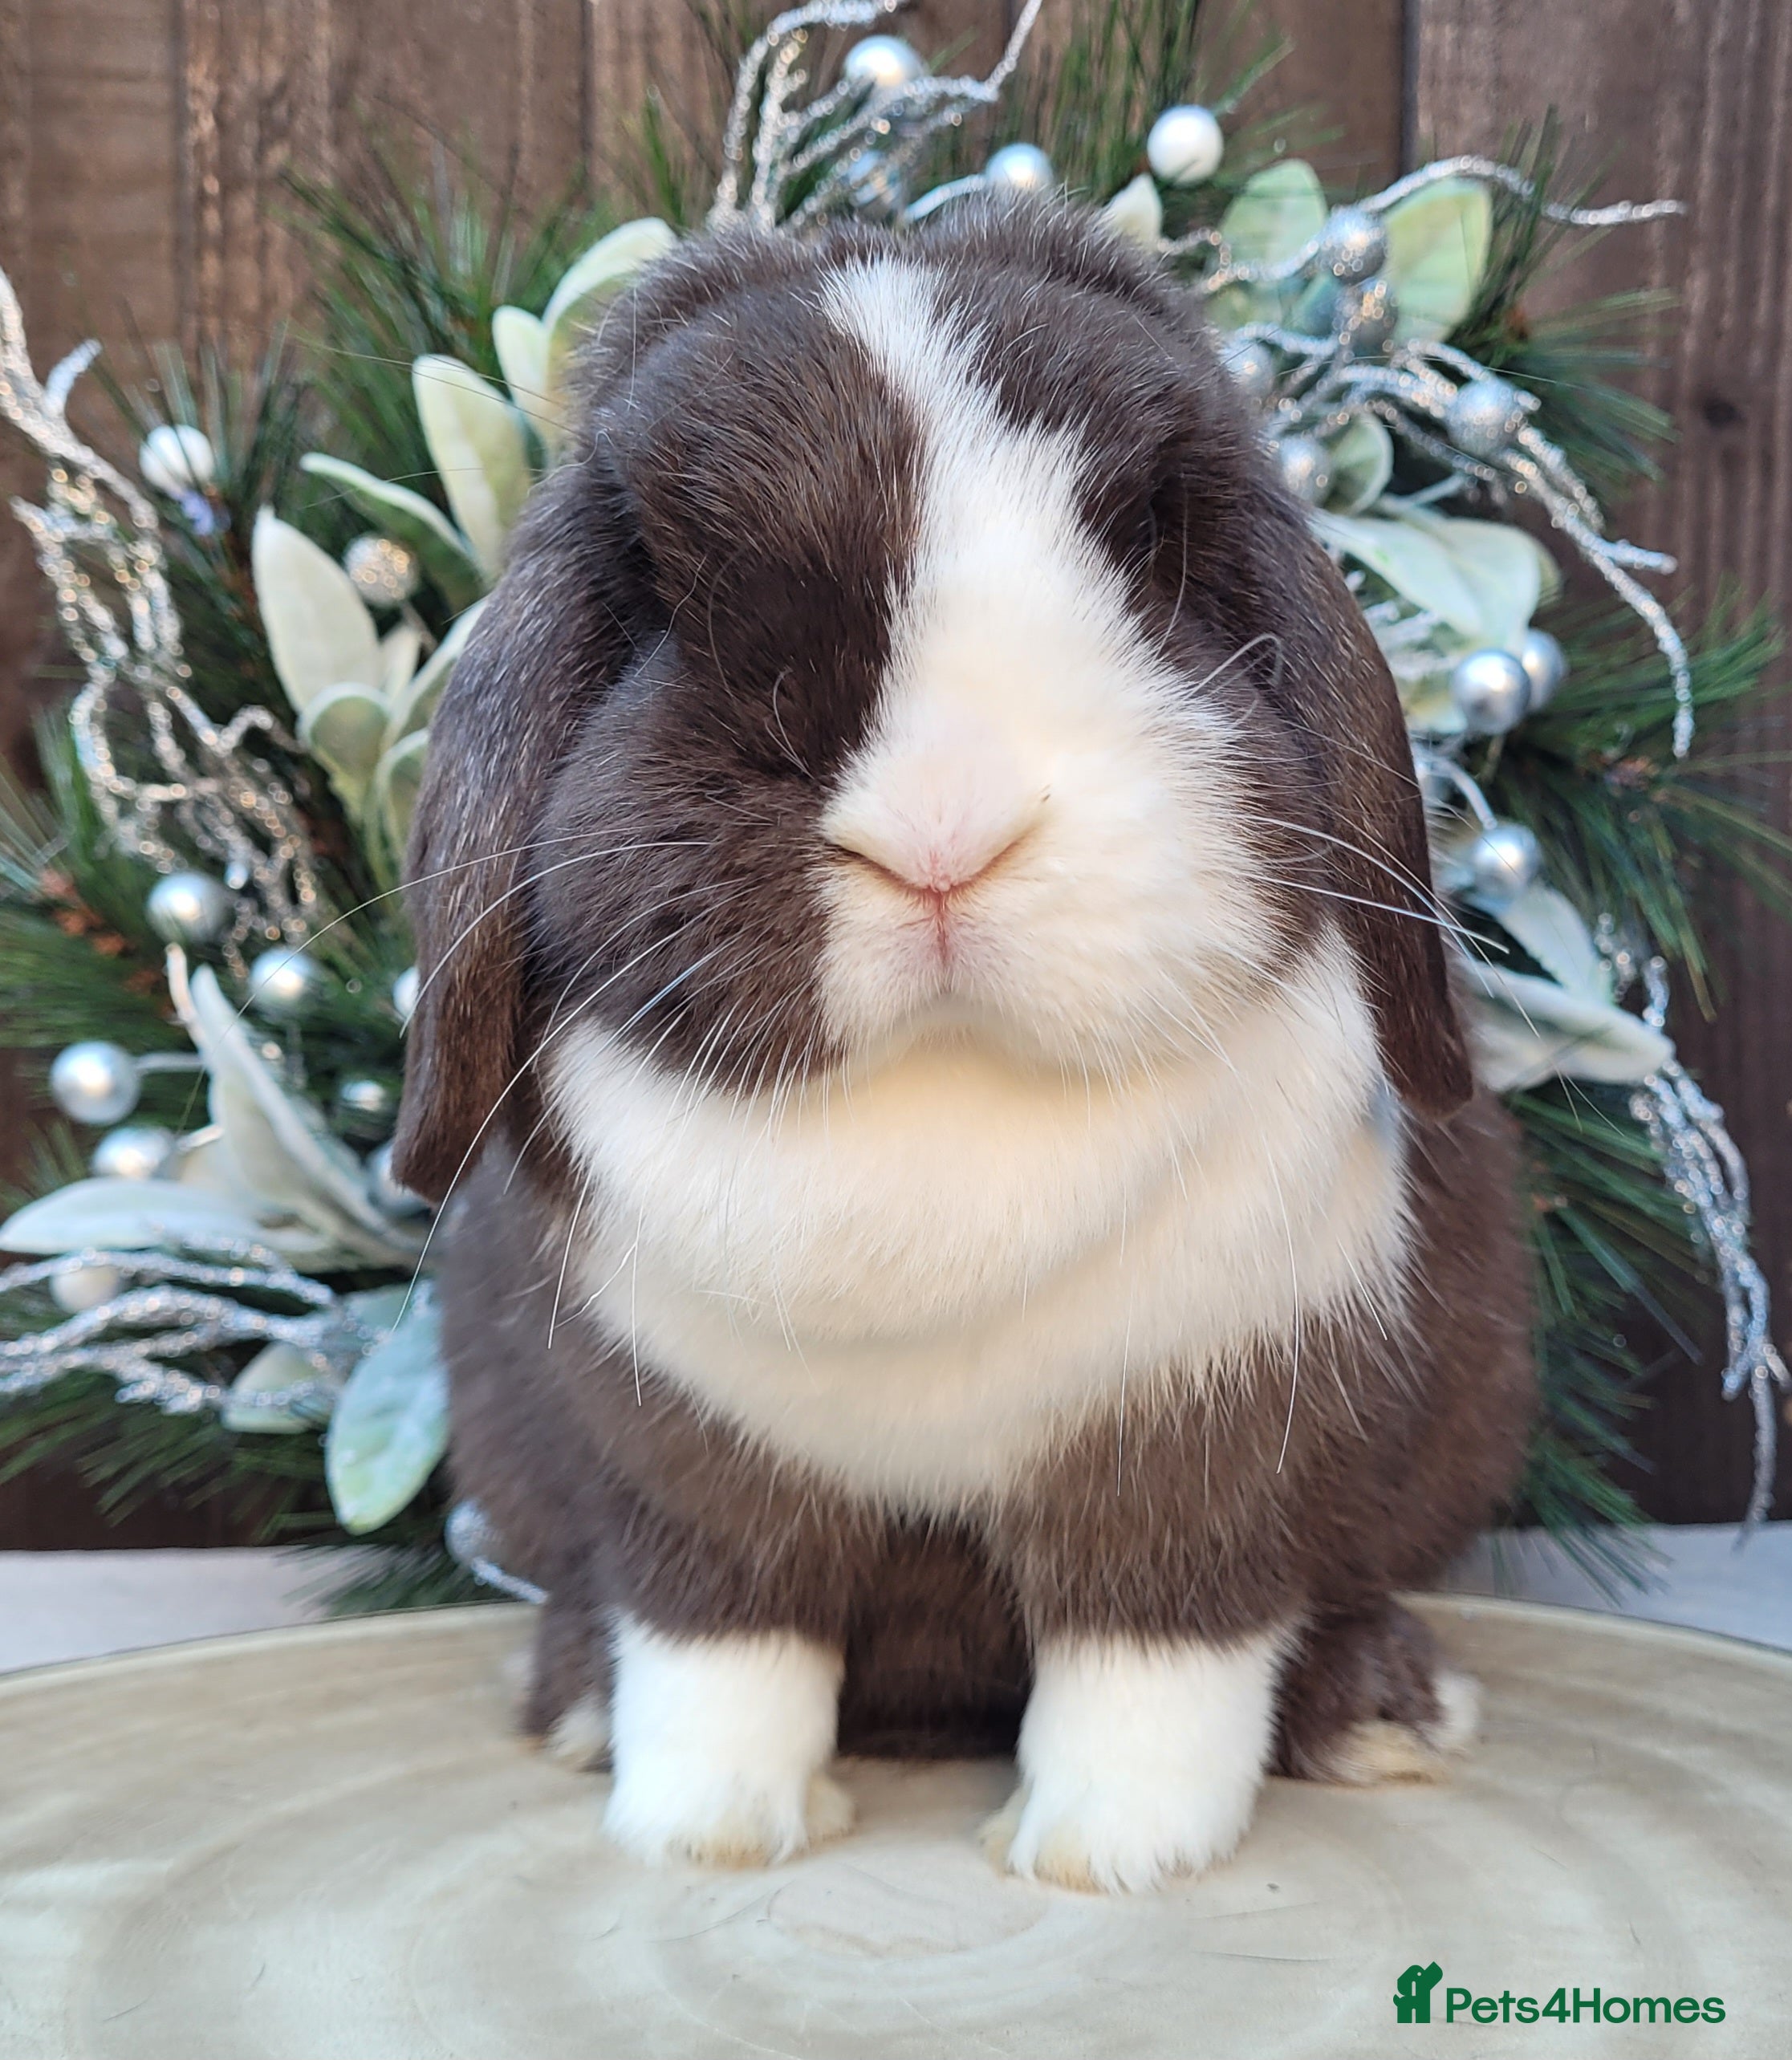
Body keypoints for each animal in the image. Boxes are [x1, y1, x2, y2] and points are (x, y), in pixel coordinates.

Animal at [392, 197, 1533, 1895]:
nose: (943, 830)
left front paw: (1105, 1854)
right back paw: (576, 1703)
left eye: (1146, 546)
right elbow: (718, 1648)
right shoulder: (686, 1475)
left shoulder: (1196, 1450)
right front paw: (705, 1832)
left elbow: (1156, 1658)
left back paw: (1381, 1713)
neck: (939, 1112)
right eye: (659, 593)